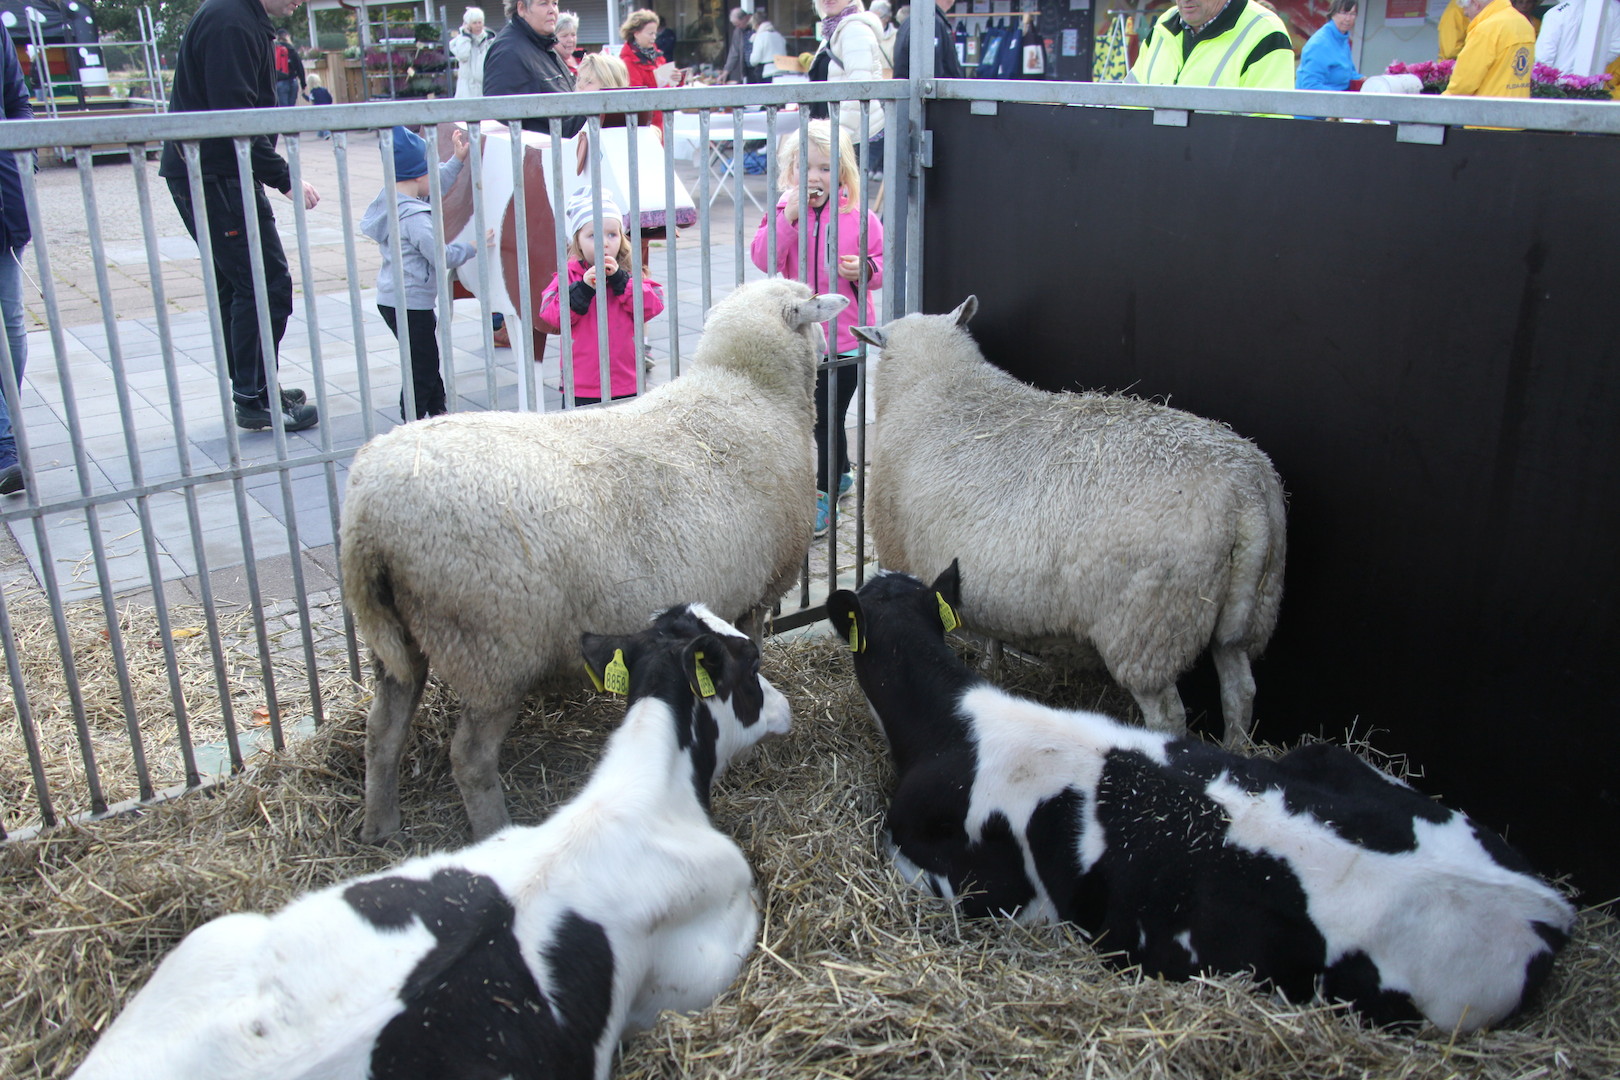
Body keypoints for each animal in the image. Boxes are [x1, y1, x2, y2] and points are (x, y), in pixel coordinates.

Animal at [341, 275, 848, 841]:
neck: (751, 390)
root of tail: (366, 519)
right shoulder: (756, 596)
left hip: (397, 638)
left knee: (382, 730)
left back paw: (380, 826)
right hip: (492, 648)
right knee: (469, 758)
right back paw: (493, 829)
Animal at [855, 299, 1283, 748]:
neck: (934, 379)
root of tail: (1246, 494)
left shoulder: (902, 557)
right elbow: (992, 636)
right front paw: (992, 668)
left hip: (1147, 628)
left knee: (1169, 714)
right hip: (1248, 611)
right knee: (1240, 689)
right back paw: (1237, 749)